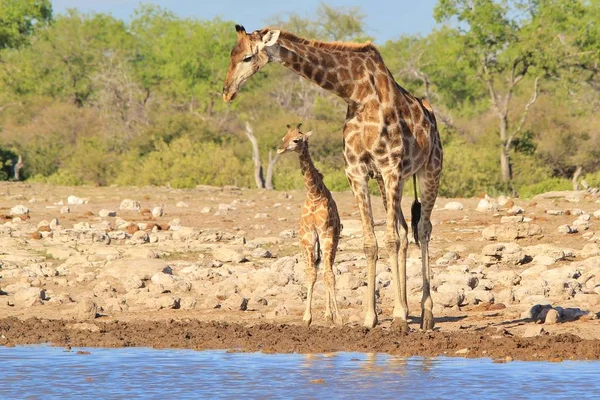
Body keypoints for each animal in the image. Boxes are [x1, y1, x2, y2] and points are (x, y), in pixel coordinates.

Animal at [278, 123, 342, 326]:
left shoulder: (326, 234)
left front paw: (339, 317)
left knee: (329, 269)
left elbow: (329, 275)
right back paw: (327, 314)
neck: (314, 195)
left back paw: (330, 314)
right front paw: (307, 318)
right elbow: (311, 273)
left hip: (333, 241)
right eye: (283, 137)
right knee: (320, 268)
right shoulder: (307, 238)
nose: (280, 149)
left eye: (297, 139)